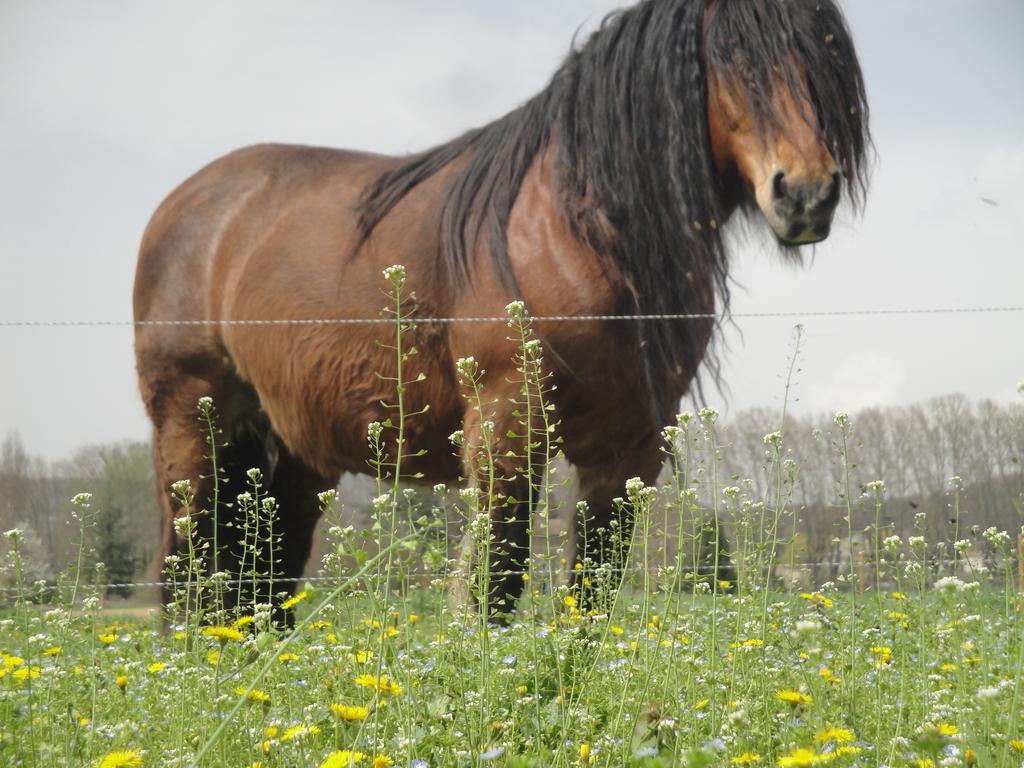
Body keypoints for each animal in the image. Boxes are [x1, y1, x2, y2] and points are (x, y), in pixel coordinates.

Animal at [134, 0, 872, 618]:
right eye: (731, 54)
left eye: (829, 55)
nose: (806, 194)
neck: (578, 230)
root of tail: (185, 202)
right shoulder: (507, 427)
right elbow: (493, 588)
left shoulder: (629, 447)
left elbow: (591, 595)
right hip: (190, 427)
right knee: (186, 573)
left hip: (290, 449)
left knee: (266, 580)